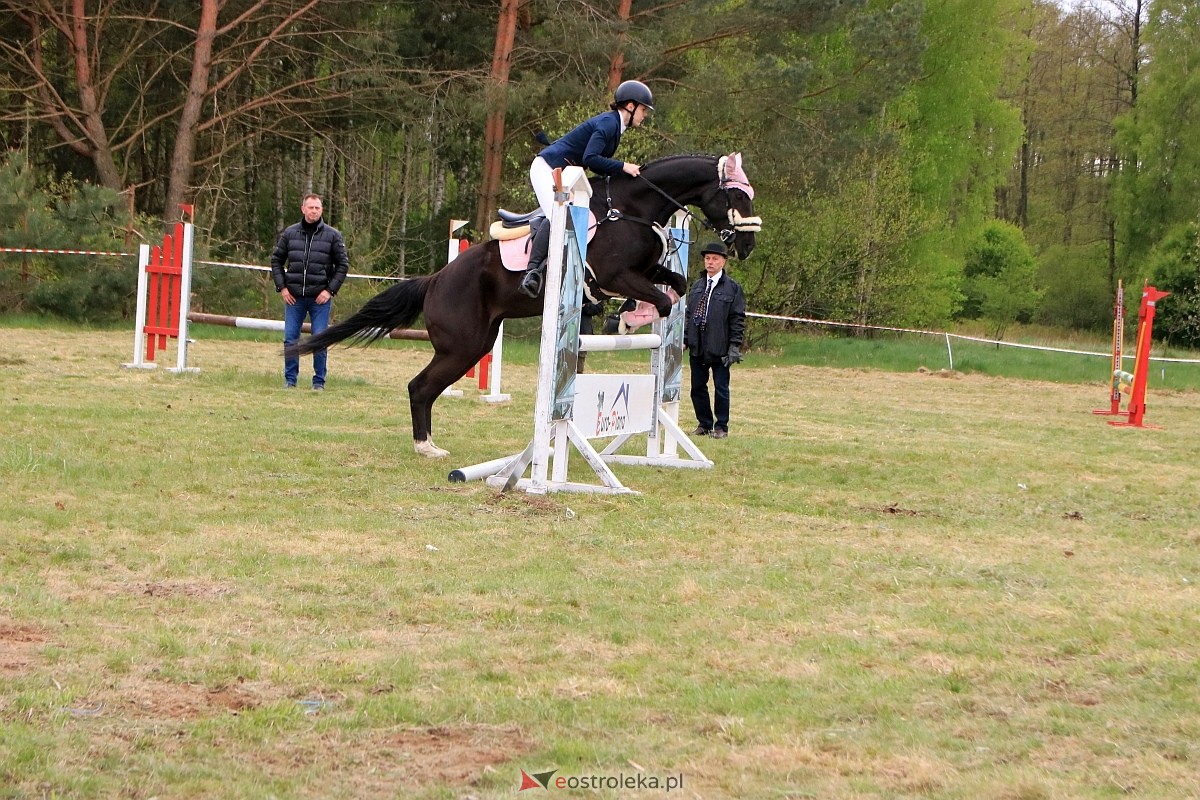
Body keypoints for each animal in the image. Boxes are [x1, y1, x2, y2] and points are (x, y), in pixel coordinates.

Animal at [288, 152, 758, 460]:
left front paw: (626, 318)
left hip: (473, 345)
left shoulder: (643, 272)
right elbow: (660, 299)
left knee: (426, 387)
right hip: (462, 346)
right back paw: (426, 448)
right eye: (739, 198)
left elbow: (675, 287)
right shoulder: (613, 275)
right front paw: (626, 320)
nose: (748, 245)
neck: (634, 208)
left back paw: (428, 443)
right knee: (419, 387)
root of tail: (435, 280)